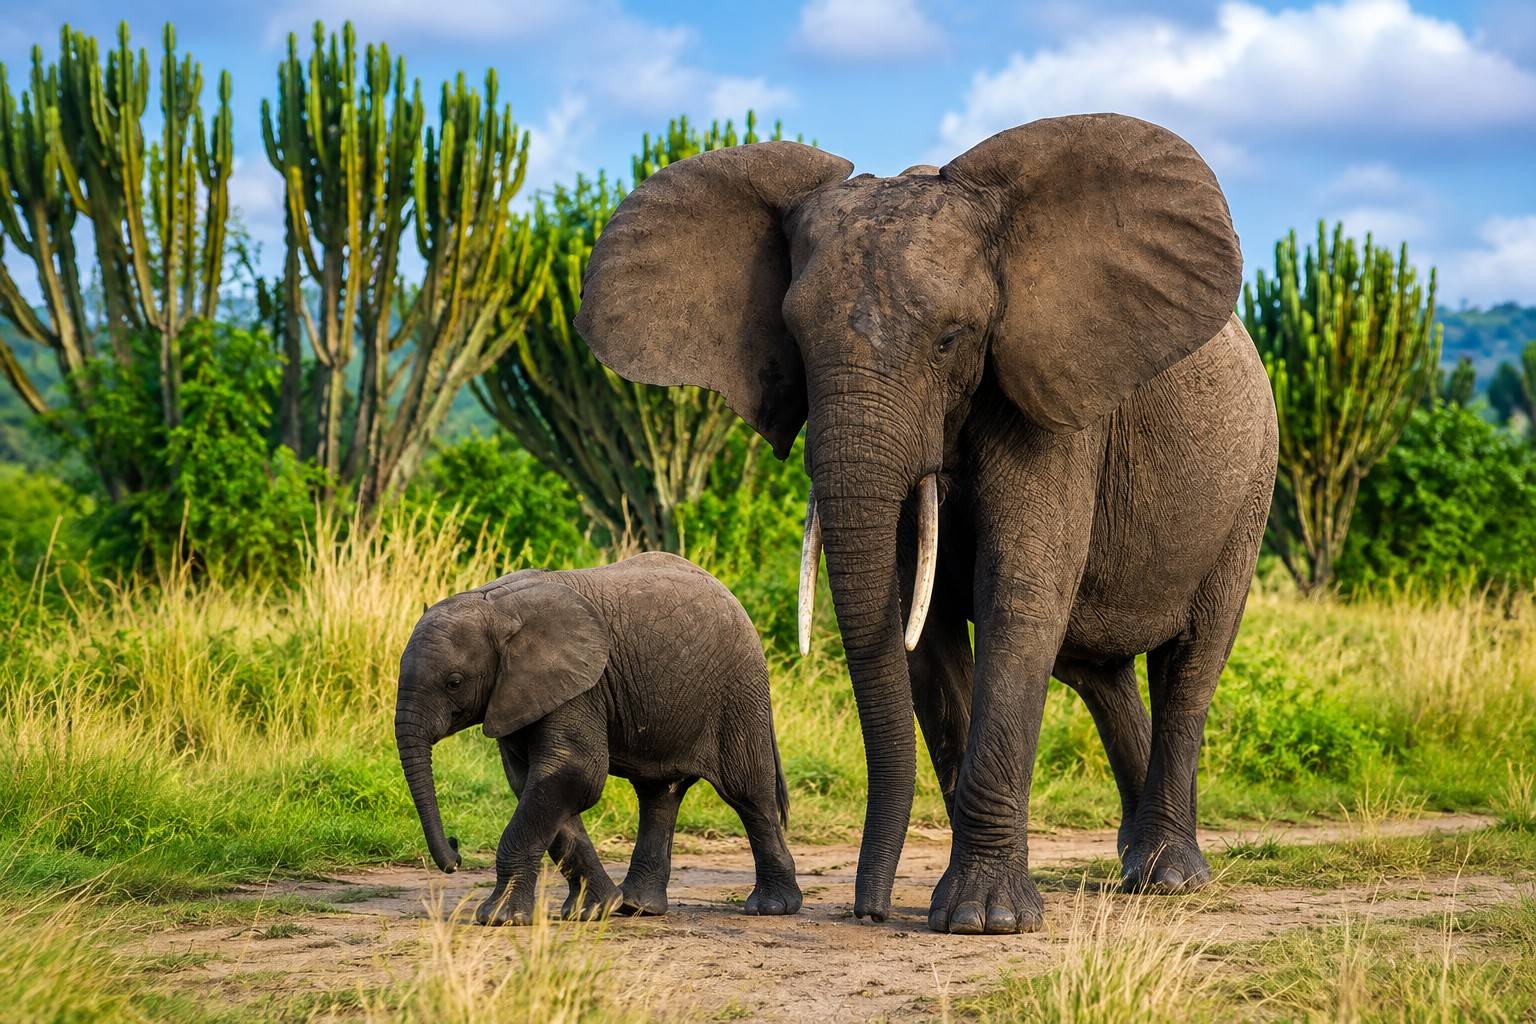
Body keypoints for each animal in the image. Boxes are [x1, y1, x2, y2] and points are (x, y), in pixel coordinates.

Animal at [395, 552, 802, 926]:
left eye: (454, 682)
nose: (455, 854)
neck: (494, 606)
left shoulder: (579, 687)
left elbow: (575, 774)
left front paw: (499, 918)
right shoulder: (519, 692)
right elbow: (534, 783)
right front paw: (594, 911)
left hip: (738, 691)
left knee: (747, 793)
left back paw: (771, 907)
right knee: (659, 795)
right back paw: (638, 907)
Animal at [574, 113, 1278, 934]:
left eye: (951, 339)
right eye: (794, 339)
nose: (867, 911)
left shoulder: (1049, 404)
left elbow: (1018, 599)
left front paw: (983, 920)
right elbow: (926, 628)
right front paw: (967, 904)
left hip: (1250, 483)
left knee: (1190, 663)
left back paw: (1168, 877)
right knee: (1097, 673)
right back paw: (1137, 863)